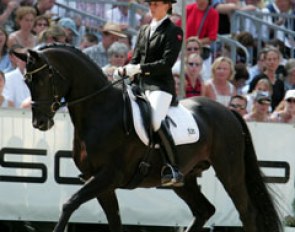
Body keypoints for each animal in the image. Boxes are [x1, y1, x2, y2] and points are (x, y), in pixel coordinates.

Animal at [14, 44, 282, 232]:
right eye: (26, 80)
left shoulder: (109, 176)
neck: (100, 110)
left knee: (246, 212)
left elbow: (70, 203)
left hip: (230, 172)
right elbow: (114, 220)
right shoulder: (100, 181)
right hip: (185, 178)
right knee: (204, 210)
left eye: (43, 78)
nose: (40, 123)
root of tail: (228, 111)